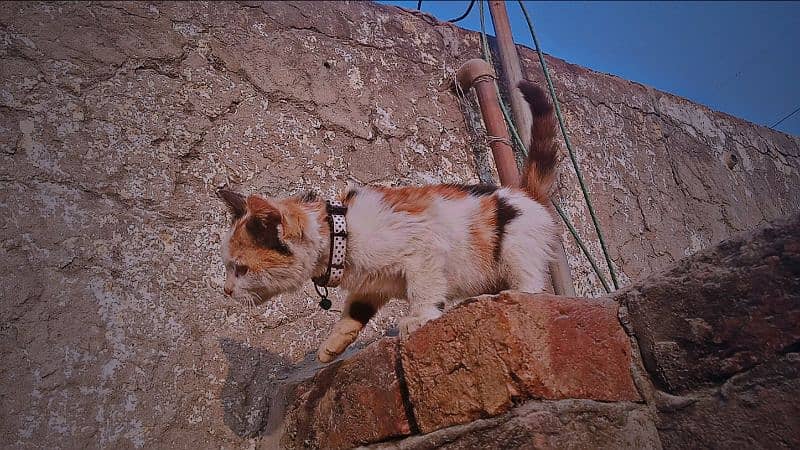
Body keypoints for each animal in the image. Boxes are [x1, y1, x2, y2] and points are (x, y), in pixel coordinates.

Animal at [217, 80, 556, 362]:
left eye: (241, 268)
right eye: (229, 267)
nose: (226, 291)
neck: (341, 232)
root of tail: (524, 192)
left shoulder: (424, 251)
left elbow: (424, 289)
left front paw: (419, 317)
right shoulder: (372, 285)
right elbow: (353, 313)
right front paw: (332, 346)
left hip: (516, 249)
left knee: (532, 287)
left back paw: (500, 297)